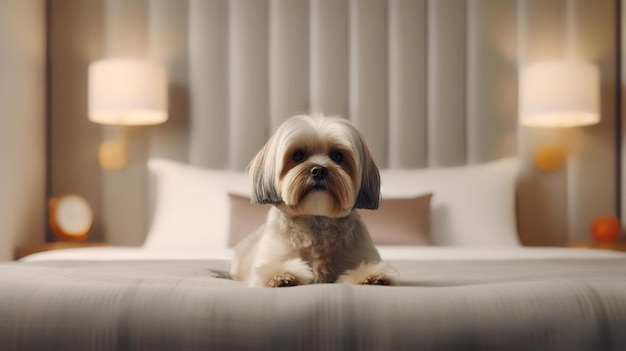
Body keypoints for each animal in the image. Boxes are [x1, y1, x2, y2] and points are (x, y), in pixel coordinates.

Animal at [228, 114, 394, 288]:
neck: (317, 218)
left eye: (337, 156)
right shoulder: (272, 257)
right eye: (298, 156)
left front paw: (372, 276)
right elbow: (272, 269)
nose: (319, 170)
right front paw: (281, 276)